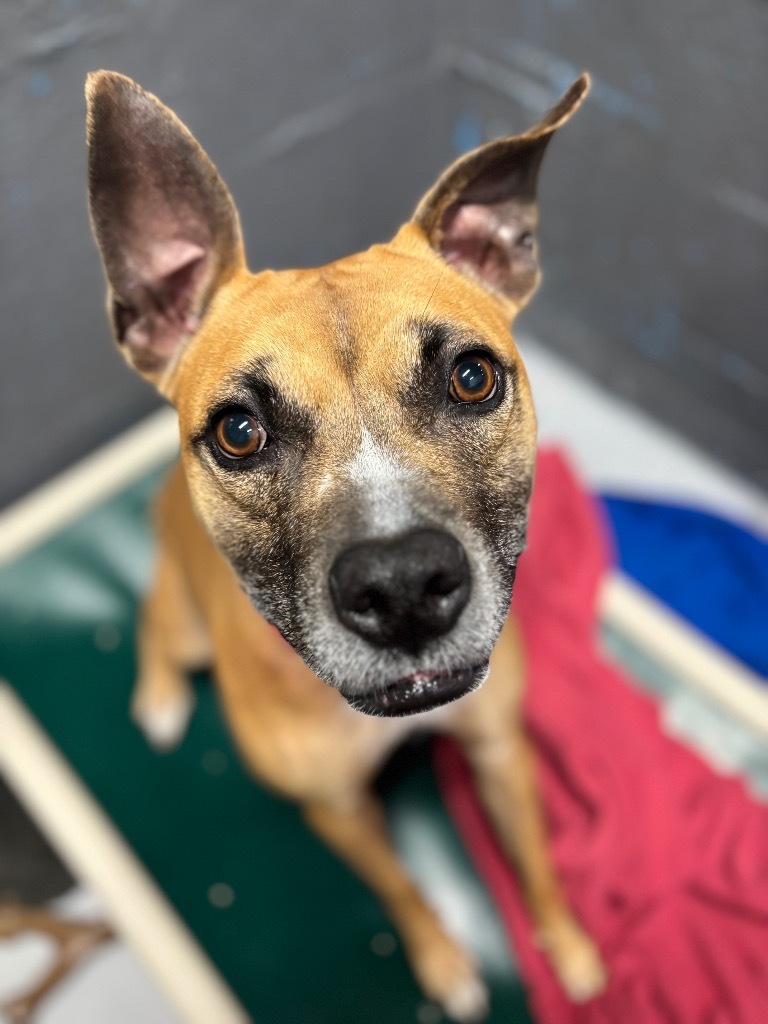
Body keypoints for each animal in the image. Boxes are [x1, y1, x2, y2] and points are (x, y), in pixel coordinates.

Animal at [85, 70, 606, 1015]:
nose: (402, 588)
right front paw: (444, 963)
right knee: (152, 619)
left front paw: (571, 946)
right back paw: (162, 699)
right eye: (239, 431)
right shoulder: (335, 811)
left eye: (471, 377)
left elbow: (533, 858)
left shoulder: (499, 749)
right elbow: (400, 888)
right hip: (181, 624)